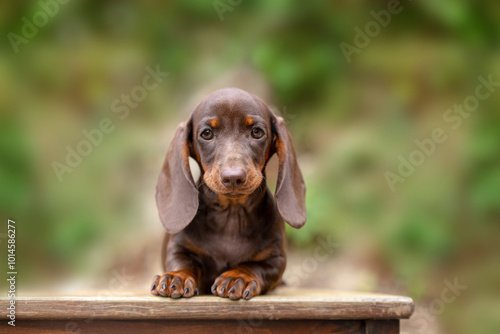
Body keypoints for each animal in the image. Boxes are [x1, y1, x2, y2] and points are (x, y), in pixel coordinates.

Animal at [149, 87, 304, 300]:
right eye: (207, 133)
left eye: (257, 132)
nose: (233, 177)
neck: (231, 217)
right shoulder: (177, 249)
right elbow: (184, 263)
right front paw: (176, 277)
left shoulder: (276, 259)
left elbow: (254, 266)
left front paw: (237, 276)